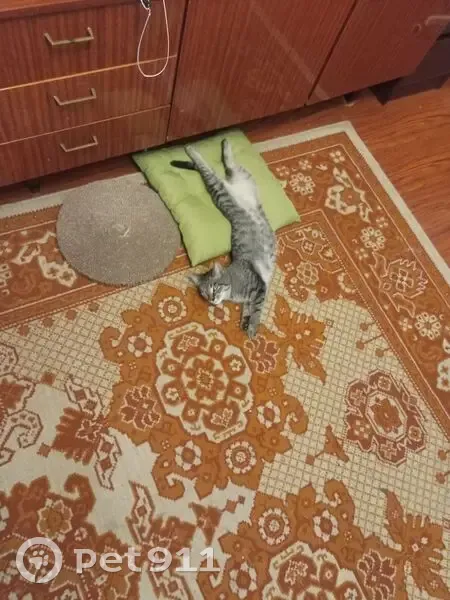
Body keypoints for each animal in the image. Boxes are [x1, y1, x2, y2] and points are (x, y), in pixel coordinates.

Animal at [171, 139, 276, 337]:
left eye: (215, 287)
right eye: (204, 294)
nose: (212, 299)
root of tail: (230, 185)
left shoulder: (259, 286)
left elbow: (256, 309)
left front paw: (252, 327)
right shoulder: (253, 294)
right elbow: (248, 308)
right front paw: (245, 321)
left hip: (218, 189)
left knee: (208, 170)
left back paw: (192, 149)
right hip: (240, 175)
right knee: (228, 165)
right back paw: (225, 144)